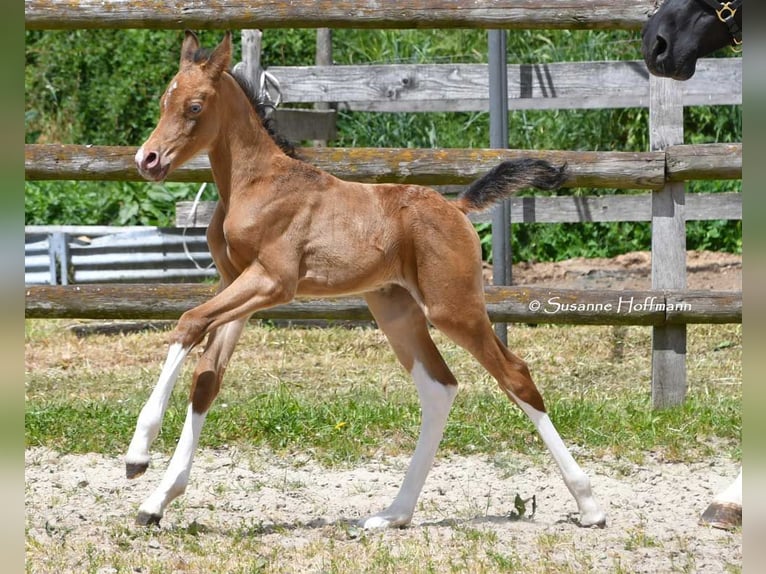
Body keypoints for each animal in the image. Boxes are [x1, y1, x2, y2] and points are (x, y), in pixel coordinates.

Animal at [126, 30, 607, 530]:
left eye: (195, 106)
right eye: (163, 102)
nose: (148, 159)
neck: (256, 183)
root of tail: (456, 207)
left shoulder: (272, 281)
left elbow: (187, 322)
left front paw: (138, 454)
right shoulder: (234, 283)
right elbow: (206, 379)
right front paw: (156, 501)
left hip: (452, 307)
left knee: (515, 376)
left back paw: (589, 506)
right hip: (395, 308)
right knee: (439, 387)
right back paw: (394, 513)